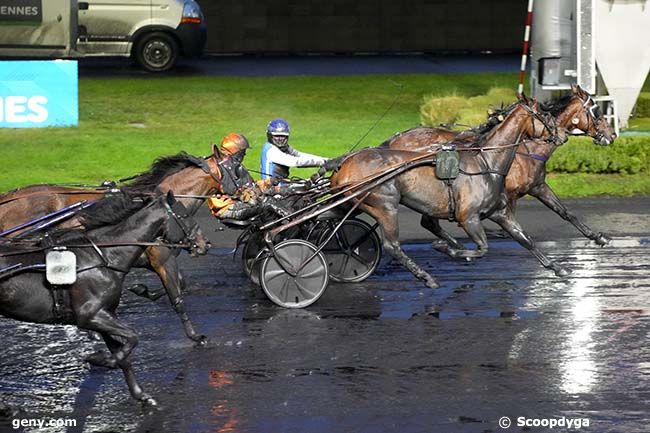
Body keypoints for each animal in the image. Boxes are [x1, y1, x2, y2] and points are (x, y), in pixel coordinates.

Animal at [0, 152, 223, 344]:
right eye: (232, 168)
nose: (205, 243)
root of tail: (7, 198)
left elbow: (180, 283)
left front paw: (142, 290)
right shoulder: (161, 256)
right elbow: (176, 293)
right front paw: (195, 336)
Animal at [0, 191, 208, 406]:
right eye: (184, 216)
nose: (204, 243)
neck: (103, 257)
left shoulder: (105, 314)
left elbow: (124, 352)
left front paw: (140, 394)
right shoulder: (90, 315)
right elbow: (132, 336)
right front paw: (100, 359)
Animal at [332, 99, 564, 288]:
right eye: (545, 115)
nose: (560, 136)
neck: (486, 162)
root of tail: (344, 165)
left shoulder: (500, 212)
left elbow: (525, 239)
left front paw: (557, 268)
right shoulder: (468, 218)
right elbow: (482, 248)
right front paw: (446, 248)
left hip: (353, 204)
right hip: (385, 207)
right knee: (392, 246)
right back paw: (427, 277)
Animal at [382, 83, 616, 250]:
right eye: (597, 110)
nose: (612, 134)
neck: (524, 145)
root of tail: (394, 140)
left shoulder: (537, 186)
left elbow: (565, 213)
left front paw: (597, 236)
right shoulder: (506, 192)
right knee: (429, 222)